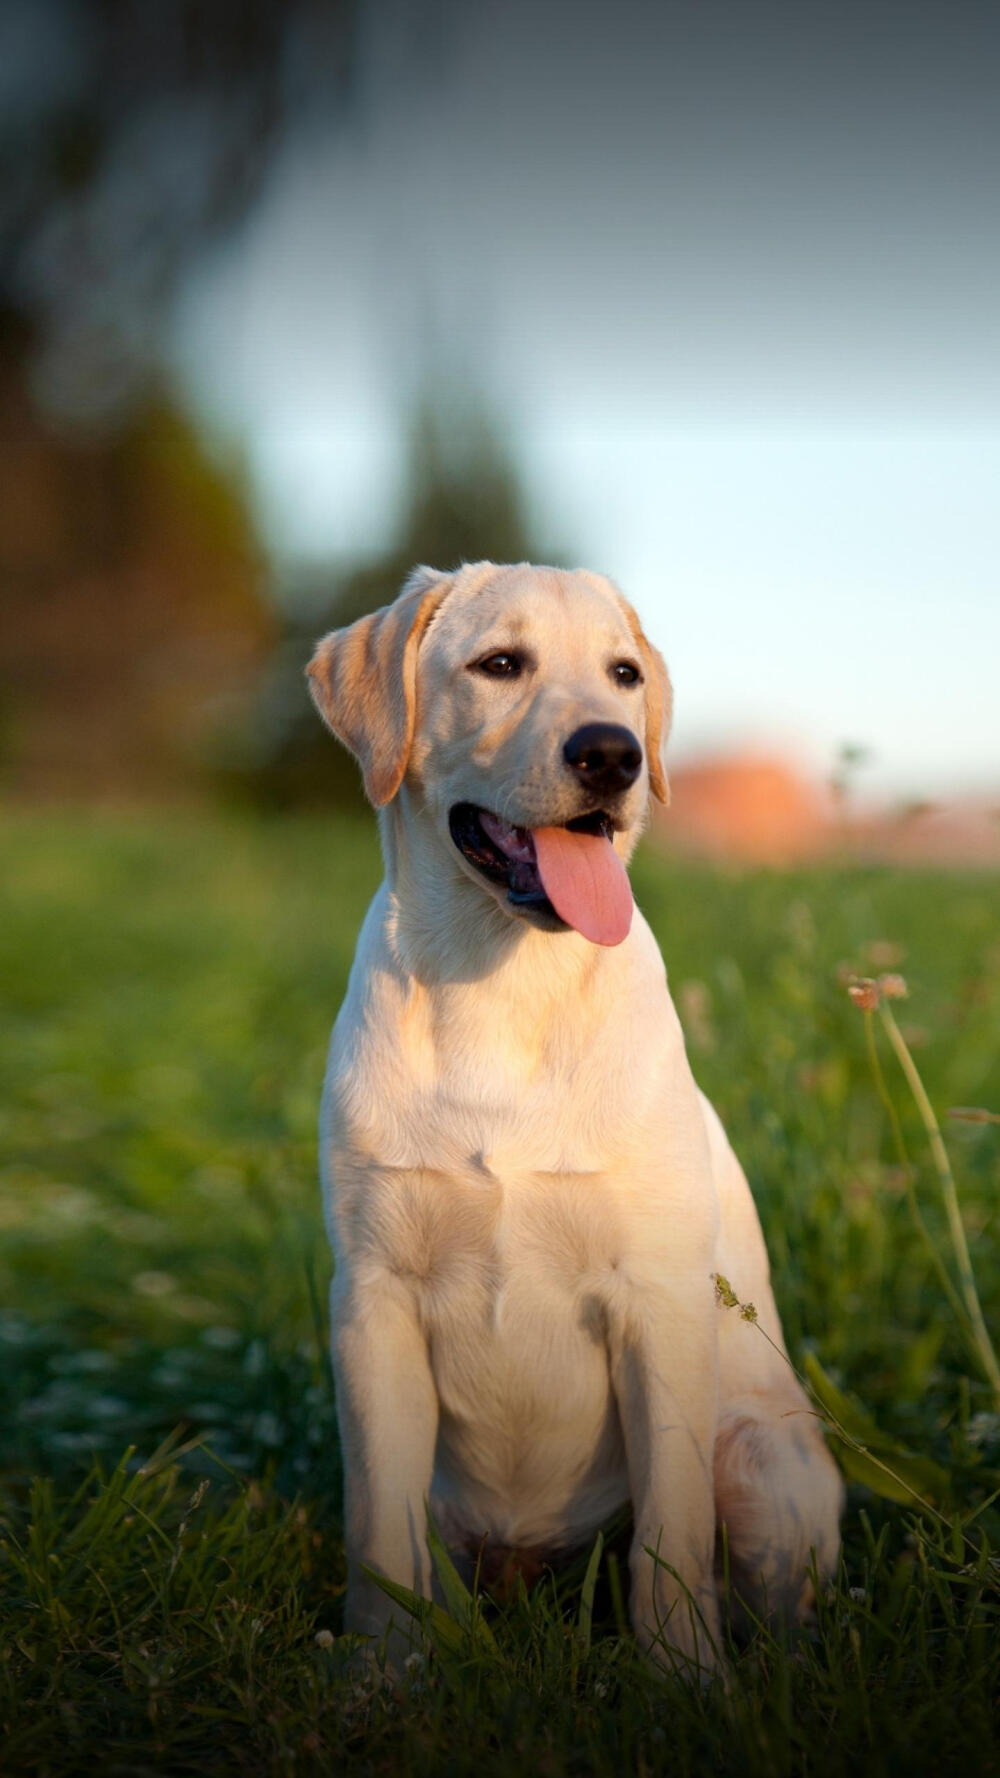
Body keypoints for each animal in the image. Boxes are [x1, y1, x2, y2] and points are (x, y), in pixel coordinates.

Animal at [306, 561, 839, 1671]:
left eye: (623, 674)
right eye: (499, 663)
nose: (612, 752)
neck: (506, 983)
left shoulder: (658, 1304)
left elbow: (670, 1542)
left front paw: (683, 1682)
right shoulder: (372, 1303)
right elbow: (379, 1536)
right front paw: (381, 1678)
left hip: (761, 1454)